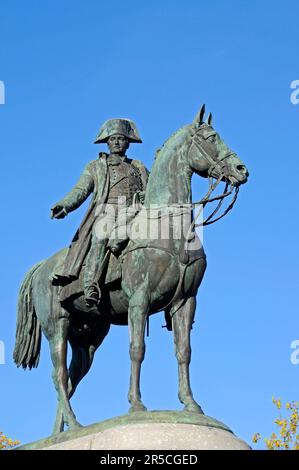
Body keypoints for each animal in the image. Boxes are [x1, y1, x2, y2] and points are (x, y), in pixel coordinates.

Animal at [13, 105, 248, 434]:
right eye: (211, 138)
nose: (241, 170)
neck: (170, 229)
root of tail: (41, 266)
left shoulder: (185, 302)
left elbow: (184, 352)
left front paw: (191, 404)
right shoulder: (140, 300)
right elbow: (137, 350)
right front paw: (136, 405)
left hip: (88, 338)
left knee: (71, 380)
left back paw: (63, 432)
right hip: (57, 325)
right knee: (58, 376)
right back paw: (75, 424)